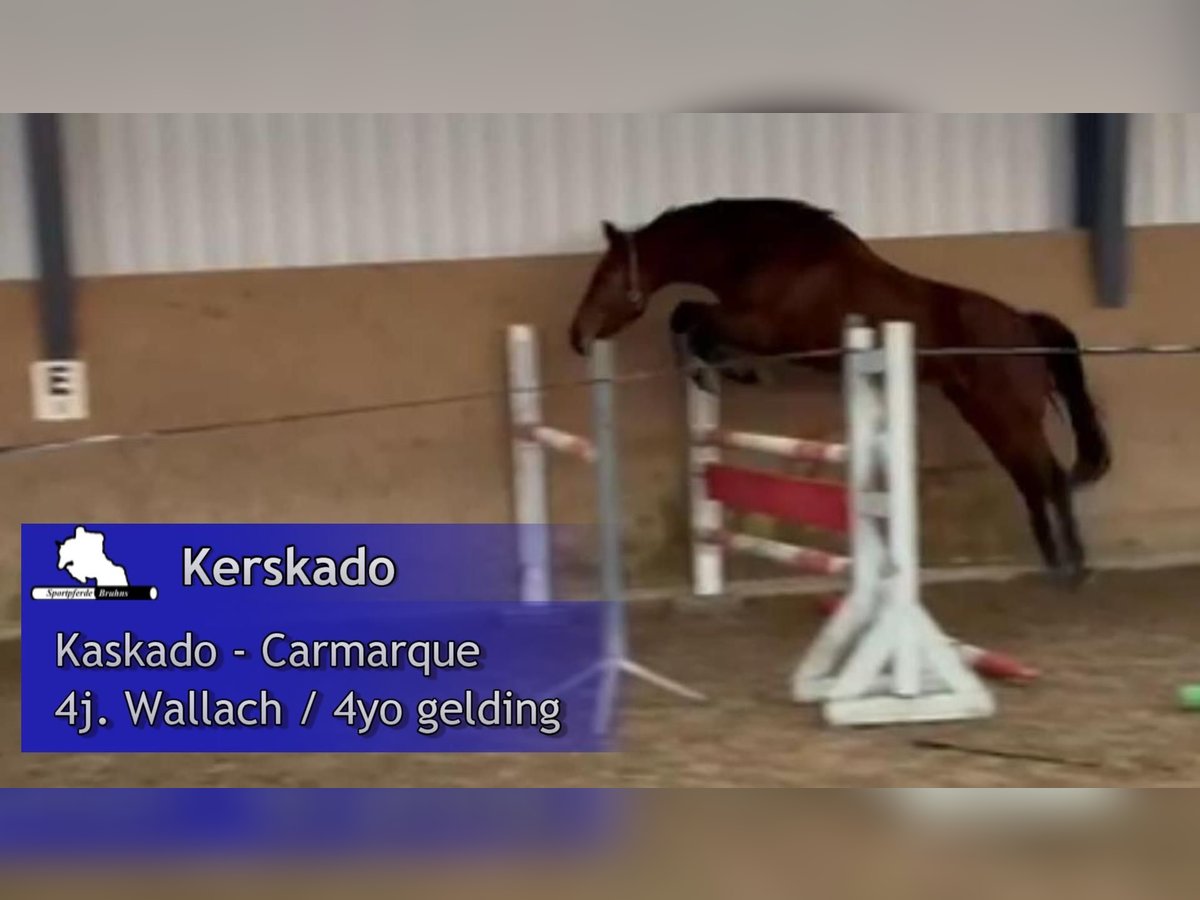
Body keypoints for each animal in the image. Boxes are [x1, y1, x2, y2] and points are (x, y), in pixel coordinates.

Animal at [566, 198, 1108, 588]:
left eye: (606, 276)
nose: (577, 337)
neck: (764, 252)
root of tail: (1024, 324)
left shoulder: (763, 329)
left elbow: (691, 317)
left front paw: (727, 370)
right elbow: (689, 319)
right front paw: (720, 369)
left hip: (1008, 414)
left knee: (1049, 476)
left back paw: (1074, 567)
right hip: (986, 414)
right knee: (1033, 479)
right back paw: (1054, 562)